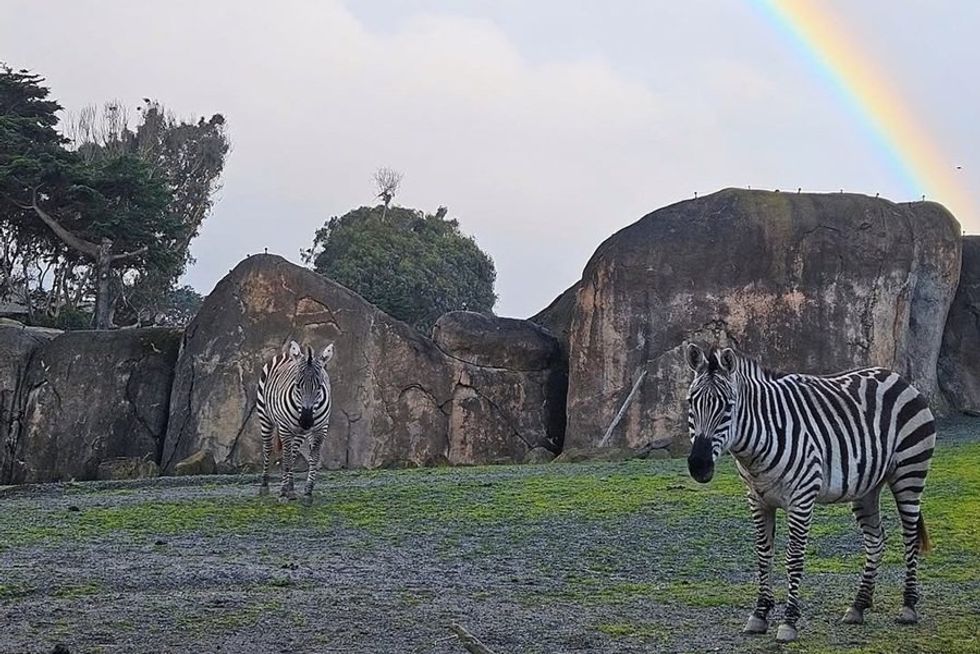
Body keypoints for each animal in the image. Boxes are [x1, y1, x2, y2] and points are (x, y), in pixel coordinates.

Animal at [256, 340, 334, 505]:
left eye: (319, 386)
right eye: (297, 385)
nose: (306, 421)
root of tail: (287, 354)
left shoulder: (320, 429)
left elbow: (313, 459)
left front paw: (308, 492)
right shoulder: (285, 429)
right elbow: (285, 461)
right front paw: (282, 494)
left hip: (298, 433)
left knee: (292, 454)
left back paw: (291, 490)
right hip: (265, 417)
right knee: (268, 449)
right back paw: (265, 485)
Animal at [684, 343, 935, 643]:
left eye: (728, 407)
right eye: (691, 403)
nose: (699, 466)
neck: (757, 445)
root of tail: (897, 377)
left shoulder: (801, 498)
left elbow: (794, 558)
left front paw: (789, 621)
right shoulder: (757, 500)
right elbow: (763, 554)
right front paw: (759, 614)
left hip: (910, 472)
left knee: (910, 537)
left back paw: (908, 606)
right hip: (866, 487)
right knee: (876, 539)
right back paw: (858, 605)